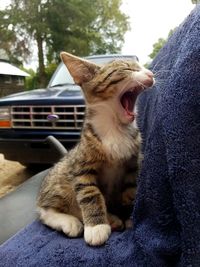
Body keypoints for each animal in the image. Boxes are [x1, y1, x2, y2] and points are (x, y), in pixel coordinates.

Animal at [36, 52, 154, 247]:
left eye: (143, 67)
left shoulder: (133, 164)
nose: (151, 74)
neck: (115, 129)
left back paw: (112, 218)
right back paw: (71, 221)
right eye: (128, 68)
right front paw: (96, 227)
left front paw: (129, 215)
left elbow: (130, 190)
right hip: (60, 179)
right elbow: (90, 194)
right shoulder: (81, 168)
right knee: (44, 211)